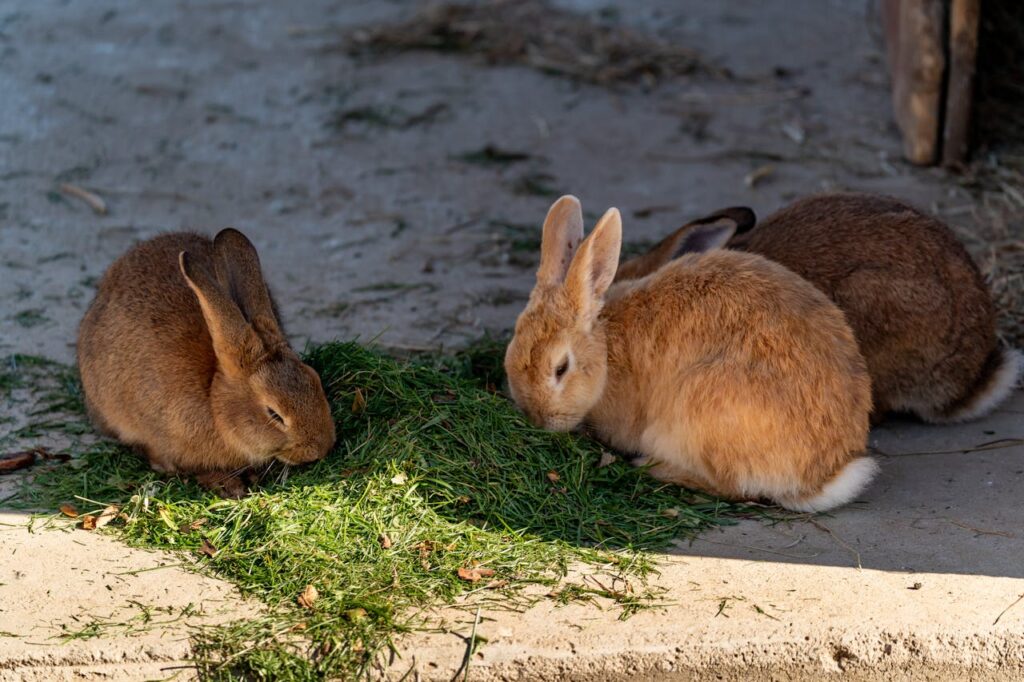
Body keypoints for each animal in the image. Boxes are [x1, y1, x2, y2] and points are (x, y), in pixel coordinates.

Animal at [505, 196, 875, 512]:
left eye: (561, 368)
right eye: (510, 355)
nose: (538, 419)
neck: (607, 349)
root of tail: (820, 477)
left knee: (734, 488)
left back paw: (652, 467)